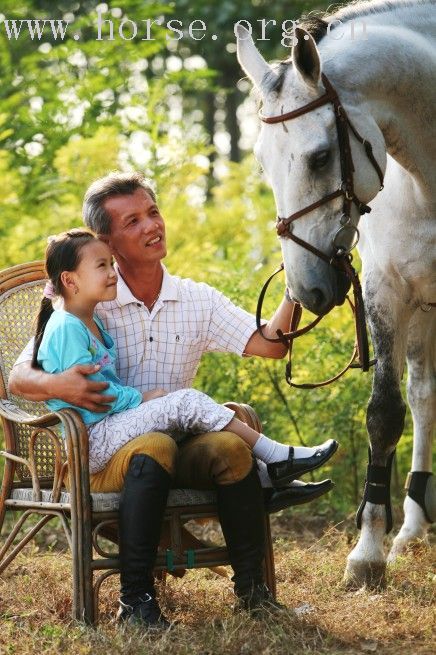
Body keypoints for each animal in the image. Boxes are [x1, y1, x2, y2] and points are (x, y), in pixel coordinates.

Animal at [237, 0, 434, 588]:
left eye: (322, 157)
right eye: (262, 162)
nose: (308, 288)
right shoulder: (388, 291)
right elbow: (385, 414)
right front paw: (368, 555)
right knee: (423, 395)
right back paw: (411, 528)